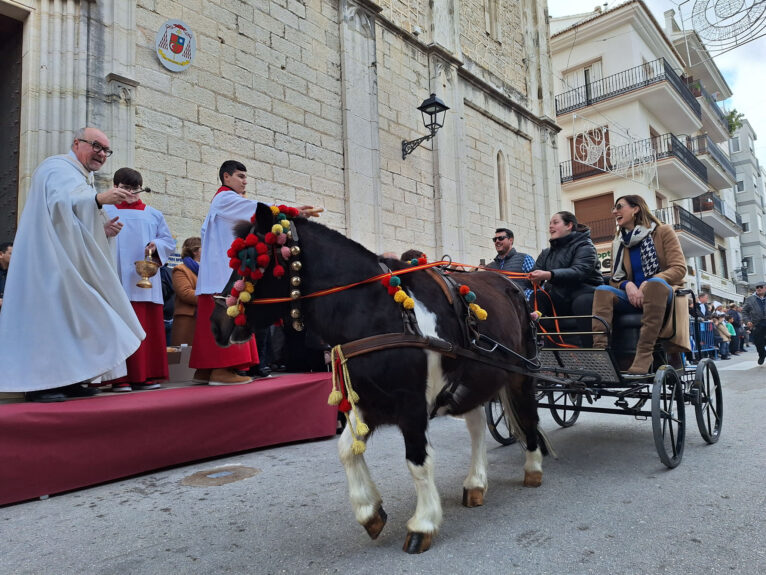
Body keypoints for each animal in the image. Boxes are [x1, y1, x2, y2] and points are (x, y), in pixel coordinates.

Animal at [208, 205, 544, 556]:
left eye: (249, 259)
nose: (217, 324)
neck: (377, 313)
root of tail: (510, 283)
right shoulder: (368, 402)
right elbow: (346, 450)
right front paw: (370, 512)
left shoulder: (411, 405)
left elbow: (418, 461)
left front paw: (423, 523)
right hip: (471, 381)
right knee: (477, 426)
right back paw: (476, 483)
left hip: (522, 373)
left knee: (527, 414)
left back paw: (533, 467)